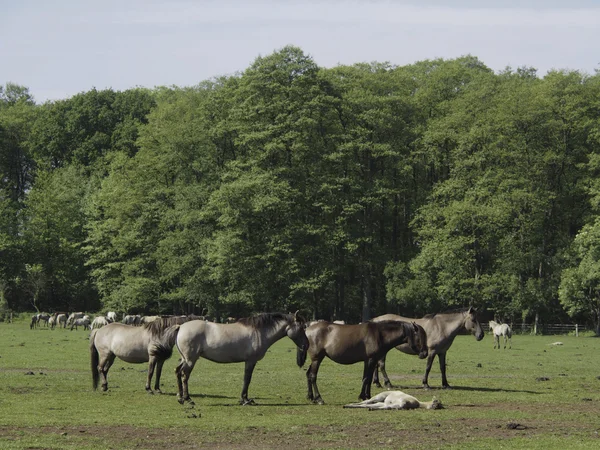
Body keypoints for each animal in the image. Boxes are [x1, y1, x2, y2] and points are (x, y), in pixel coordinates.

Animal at [172, 312, 304, 406]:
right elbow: (247, 379)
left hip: (184, 359)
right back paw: (187, 399)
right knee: (184, 375)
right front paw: (245, 399)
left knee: (178, 372)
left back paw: (180, 397)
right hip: (190, 360)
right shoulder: (251, 361)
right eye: (302, 328)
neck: (258, 331)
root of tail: (181, 327)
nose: (305, 345)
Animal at [298, 320, 428, 404]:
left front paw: (367, 396)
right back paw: (318, 398)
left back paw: (310, 396)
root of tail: (307, 329)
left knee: (308, 374)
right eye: (420, 337)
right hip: (317, 359)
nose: (425, 353)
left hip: (315, 360)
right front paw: (362, 396)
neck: (379, 334)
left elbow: (368, 379)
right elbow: (366, 379)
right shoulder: (370, 360)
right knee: (313, 376)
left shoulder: (369, 361)